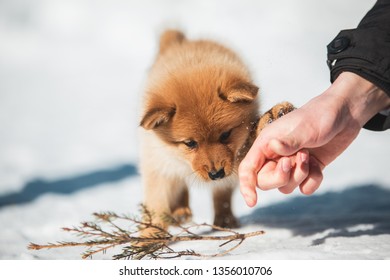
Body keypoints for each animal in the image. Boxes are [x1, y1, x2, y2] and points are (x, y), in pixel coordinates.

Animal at [139, 29, 292, 234]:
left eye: (226, 135)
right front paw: (150, 235)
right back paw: (181, 212)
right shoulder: (158, 165)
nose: (216, 174)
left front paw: (272, 118)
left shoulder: (238, 156)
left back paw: (224, 221)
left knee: (222, 195)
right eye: (190, 143)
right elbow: (157, 204)